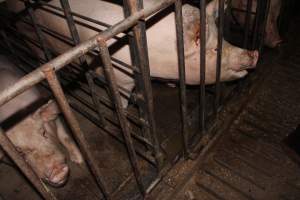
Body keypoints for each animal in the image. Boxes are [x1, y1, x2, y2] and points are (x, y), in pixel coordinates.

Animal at [0, 55, 83, 187]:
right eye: (20, 152)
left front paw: (79, 160)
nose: (57, 171)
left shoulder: (55, 119)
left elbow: (64, 135)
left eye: (43, 132)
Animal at [7, 0, 258, 106]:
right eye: (214, 49)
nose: (254, 53)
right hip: (28, 31)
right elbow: (121, 98)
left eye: (223, 39)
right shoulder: (120, 77)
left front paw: (170, 85)